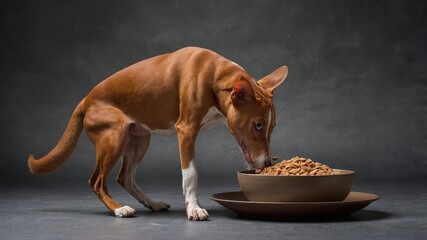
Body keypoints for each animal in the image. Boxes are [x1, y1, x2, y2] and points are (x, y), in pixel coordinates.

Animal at [28, 47, 290, 221]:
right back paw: (119, 209)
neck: (215, 75)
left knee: (125, 177)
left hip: (139, 139)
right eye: (258, 125)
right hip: (114, 136)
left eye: (272, 127)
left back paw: (151, 204)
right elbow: (190, 174)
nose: (268, 164)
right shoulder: (186, 131)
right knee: (97, 181)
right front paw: (194, 208)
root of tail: (85, 99)